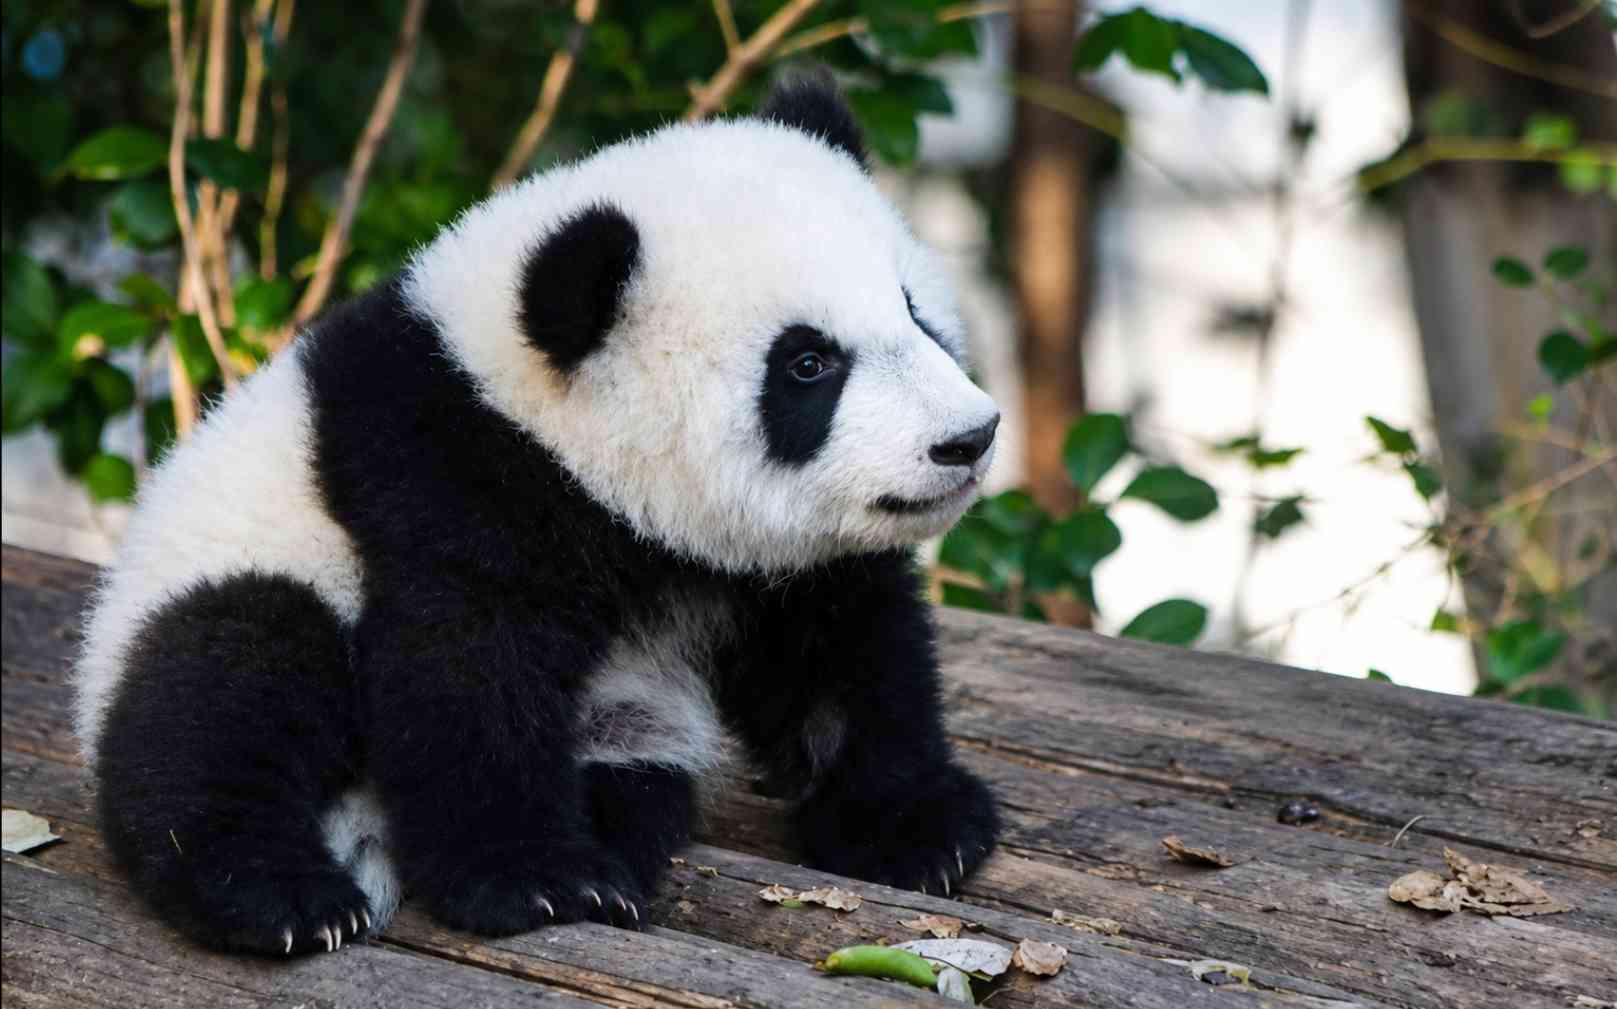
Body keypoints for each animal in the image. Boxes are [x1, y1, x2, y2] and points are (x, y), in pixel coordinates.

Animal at [74, 75, 1002, 957]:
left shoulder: (771, 561)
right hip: (230, 567)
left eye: (915, 311)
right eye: (808, 363)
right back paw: (280, 895)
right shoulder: (445, 474)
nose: (968, 437)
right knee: (224, 685)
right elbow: (466, 669)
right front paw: (538, 882)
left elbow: (841, 650)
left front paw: (917, 828)